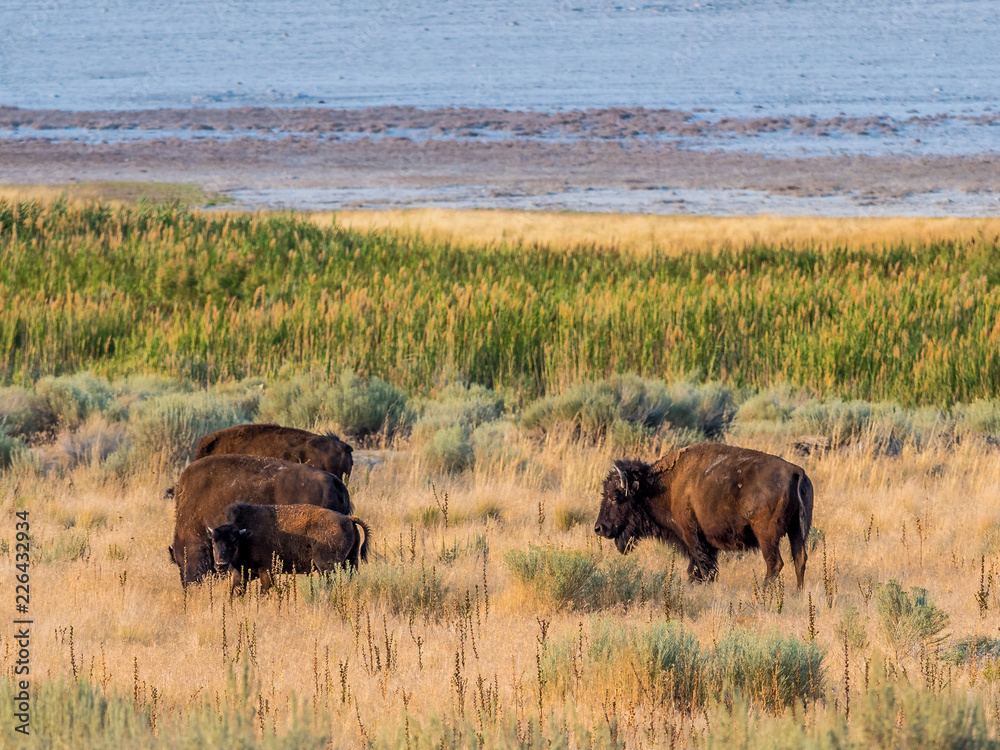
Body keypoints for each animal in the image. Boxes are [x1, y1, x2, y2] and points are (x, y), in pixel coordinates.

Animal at [208, 502, 372, 596]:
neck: (246, 535)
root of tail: (347, 519)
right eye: (214, 541)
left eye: (234, 541)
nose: (220, 565)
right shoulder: (240, 575)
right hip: (351, 562)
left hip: (327, 567)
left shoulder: (266, 571)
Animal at [592, 444, 812, 592]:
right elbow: (699, 568)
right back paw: (798, 594)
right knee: (799, 559)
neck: (662, 487)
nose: (599, 528)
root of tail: (796, 471)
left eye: (615, 496)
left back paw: (763, 594)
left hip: (766, 534)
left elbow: (703, 567)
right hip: (796, 530)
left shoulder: (691, 535)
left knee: (774, 563)